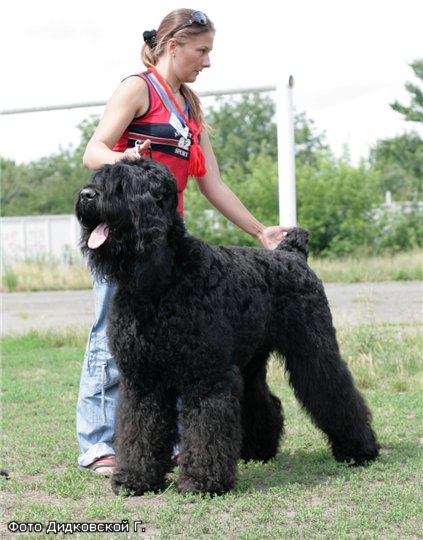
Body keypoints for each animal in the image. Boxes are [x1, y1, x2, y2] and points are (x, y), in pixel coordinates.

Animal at [76, 158, 380, 496]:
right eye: (98, 179)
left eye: (124, 184)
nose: (87, 195)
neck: (161, 280)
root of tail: (293, 255)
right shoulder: (143, 378)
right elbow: (139, 427)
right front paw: (135, 477)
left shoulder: (206, 374)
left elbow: (205, 426)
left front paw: (201, 480)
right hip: (250, 362)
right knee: (263, 399)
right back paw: (258, 449)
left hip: (312, 348)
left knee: (335, 389)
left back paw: (358, 449)